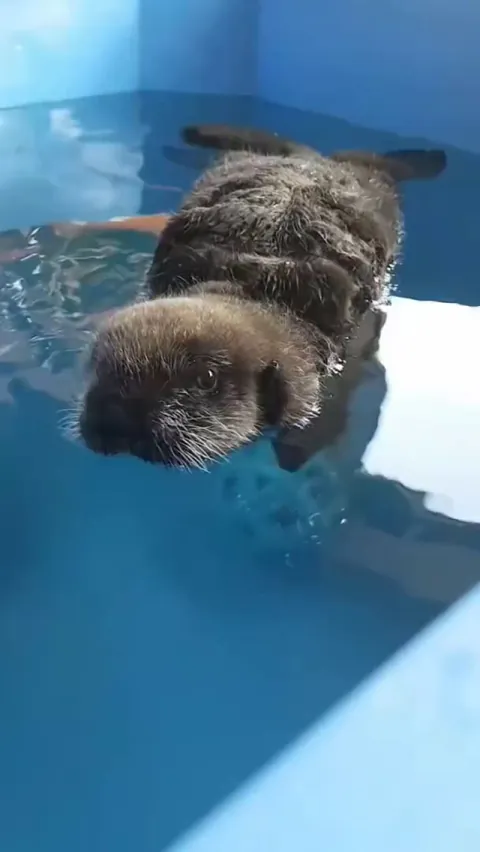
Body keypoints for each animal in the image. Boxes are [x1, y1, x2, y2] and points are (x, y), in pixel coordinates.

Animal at [77, 124, 446, 469]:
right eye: (99, 365)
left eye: (206, 379)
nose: (120, 405)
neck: (246, 287)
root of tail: (314, 158)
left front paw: (295, 452)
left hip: (375, 183)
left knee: (375, 160)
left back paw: (429, 158)